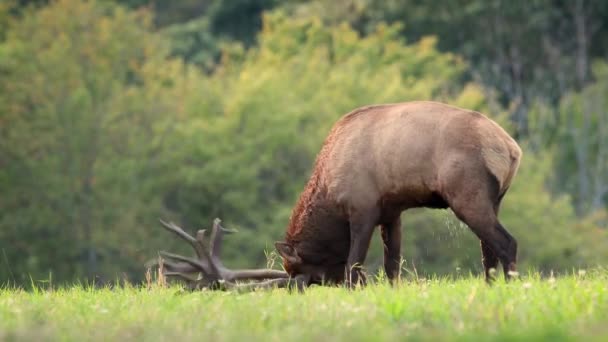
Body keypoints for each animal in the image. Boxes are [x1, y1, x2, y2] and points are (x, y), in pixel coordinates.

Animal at [152, 101, 524, 292]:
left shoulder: (362, 207)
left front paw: (353, 288)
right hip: (493, 199)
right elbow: (392, 264)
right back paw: (491, 287)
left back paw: (510, 286)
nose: (299, 286)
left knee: (506, 242)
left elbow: (353, 263)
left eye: (296, 269)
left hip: (466, 194)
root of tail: (511, 149)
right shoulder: (392, 211)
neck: (327, 188)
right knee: (488, 249)